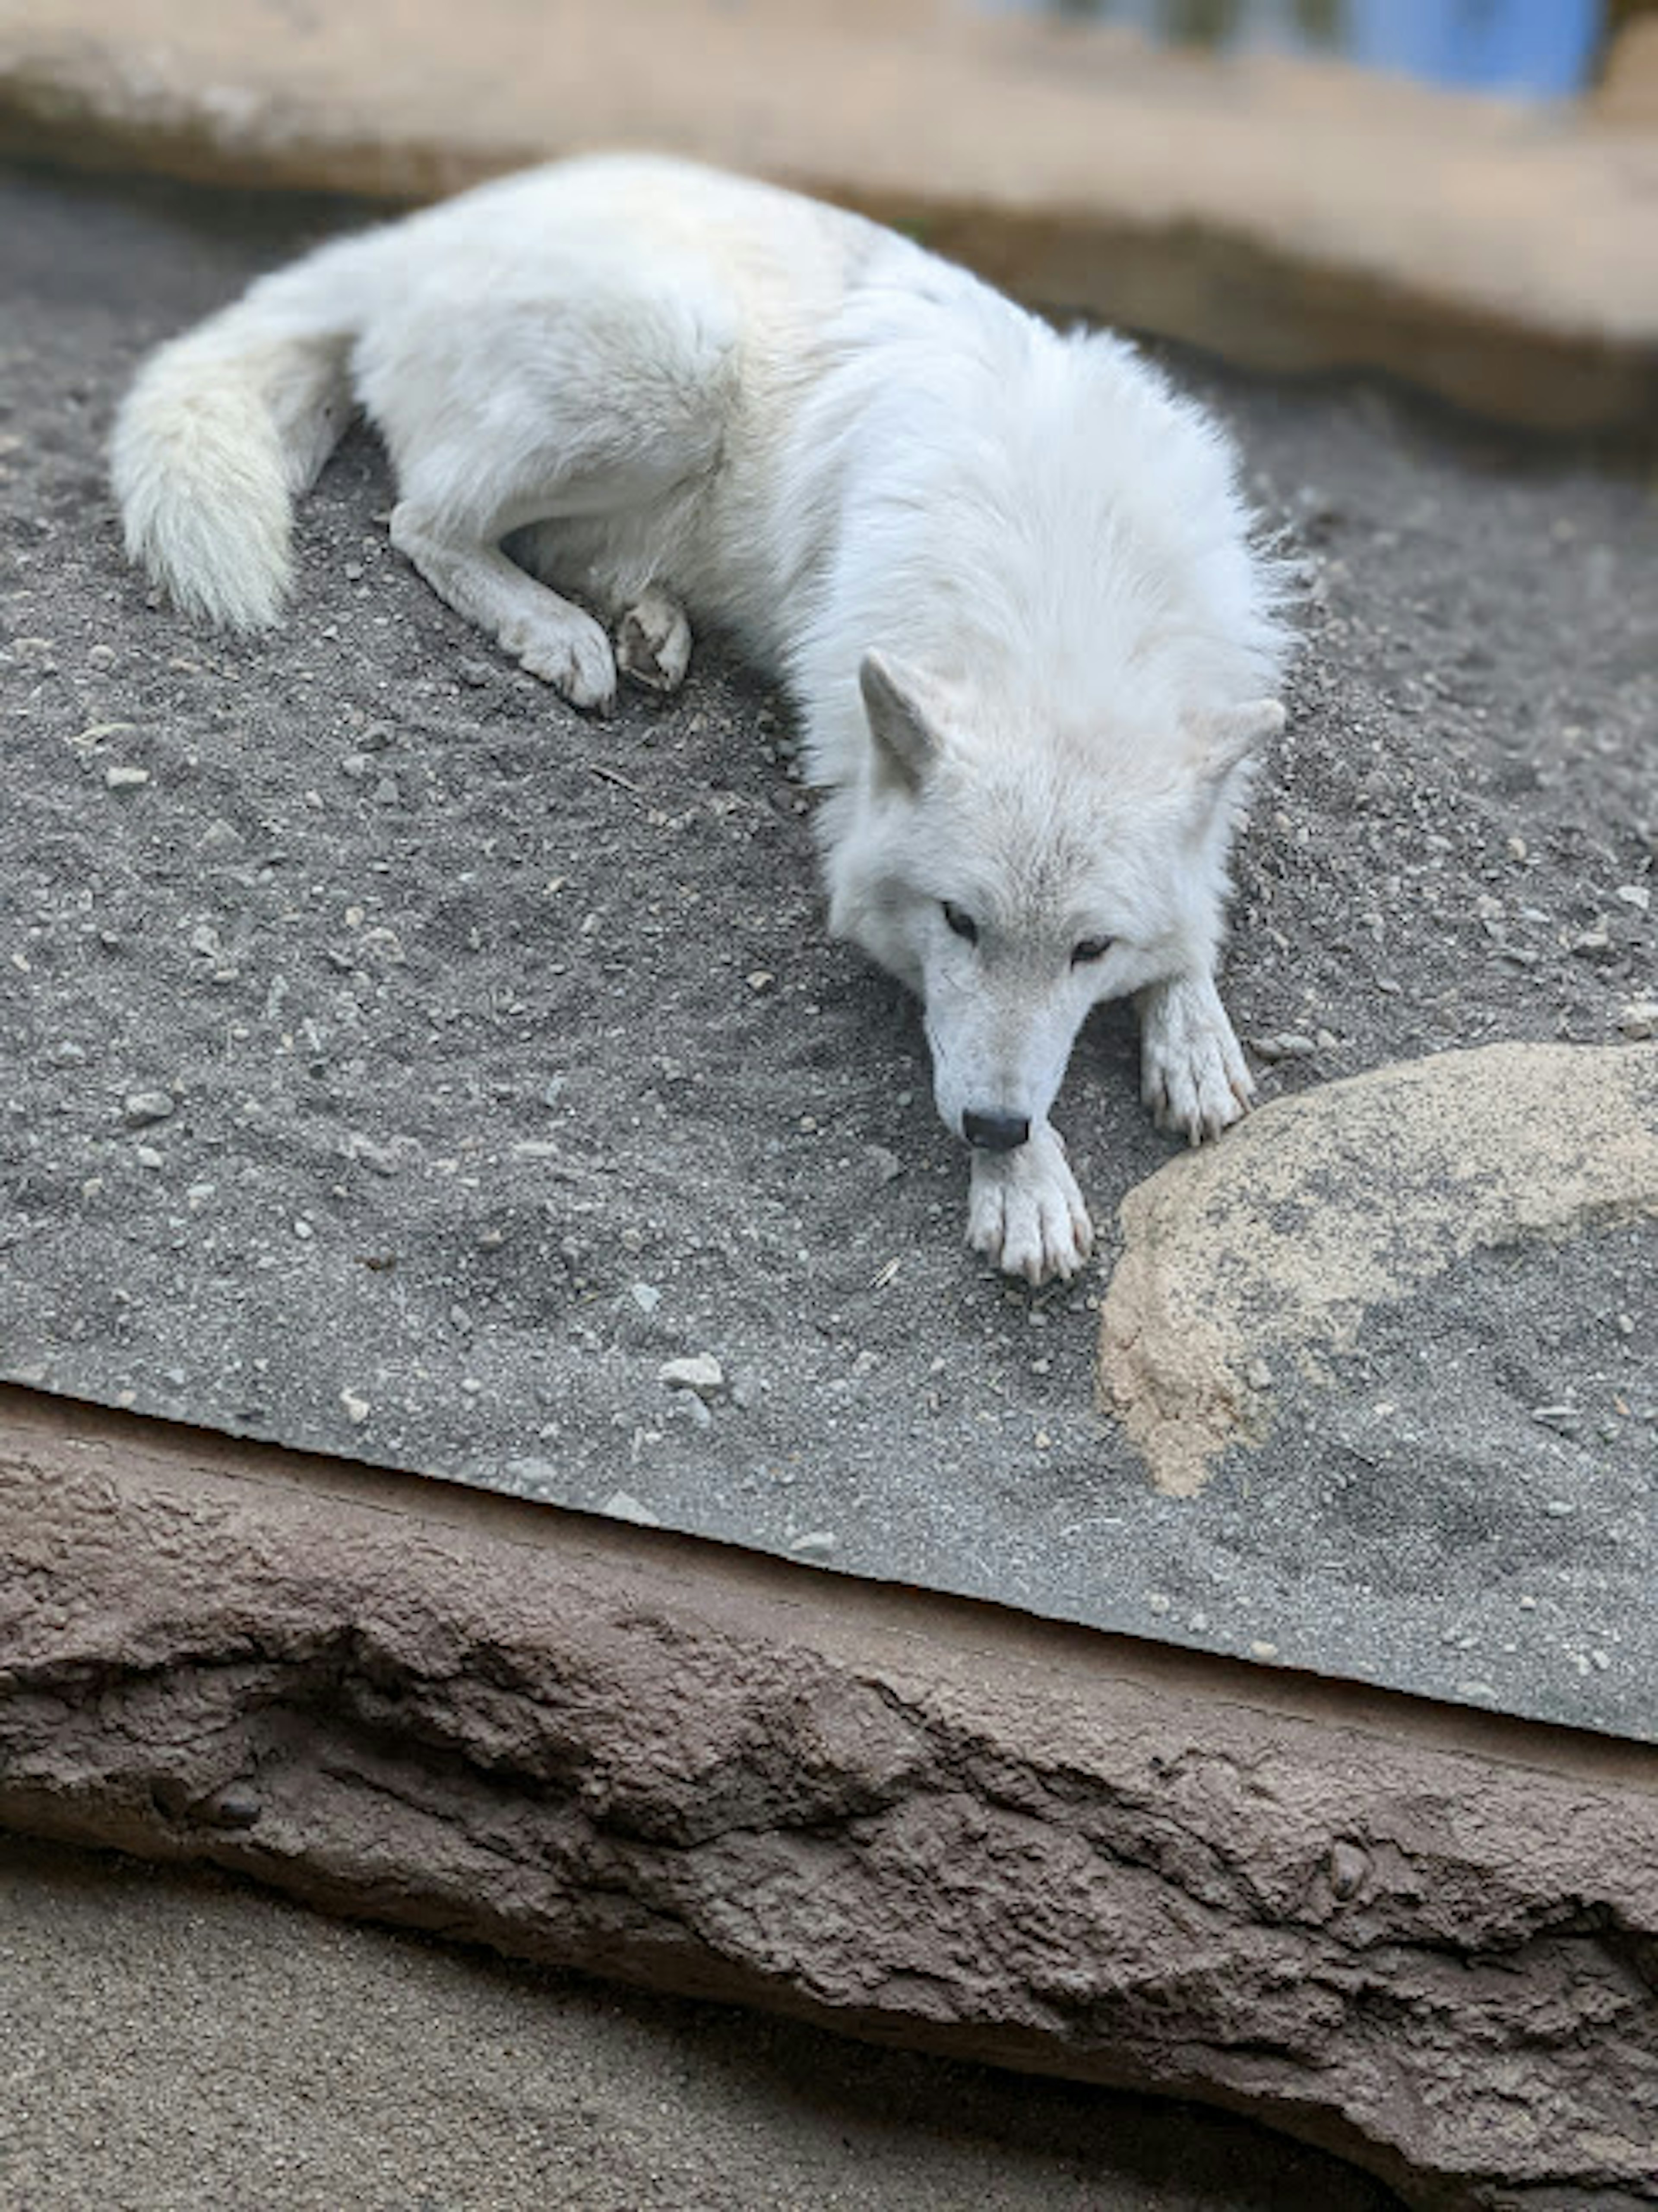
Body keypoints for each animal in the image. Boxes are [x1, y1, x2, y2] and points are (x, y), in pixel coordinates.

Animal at [111, 156, 1291, 1291]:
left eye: (1091, 948)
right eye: (959, 921)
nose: (994, 1126)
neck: (1066, 591)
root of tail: (432, 226)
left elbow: (1192, 912)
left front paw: (1189, 1031)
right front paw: (1028, 1183)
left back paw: (645, 625)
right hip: (678, 373)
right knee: (424, 521)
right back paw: (563, 633)